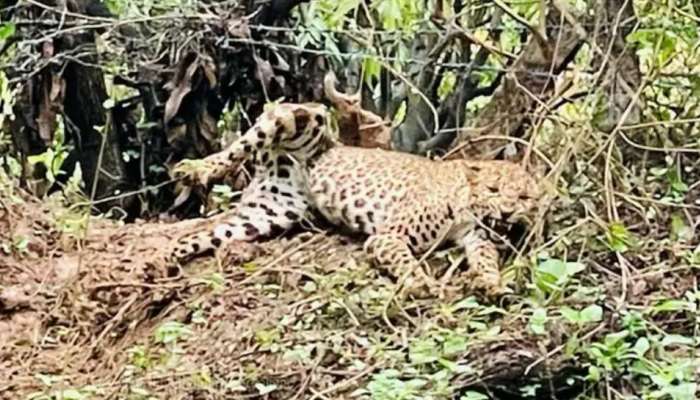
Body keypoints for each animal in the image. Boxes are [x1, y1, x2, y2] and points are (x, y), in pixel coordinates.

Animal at [168, 102, 541, 296]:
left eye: (524, 197)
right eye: (493, 191)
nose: (508, 211)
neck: (465, 206)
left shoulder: (476, 239)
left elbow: (487, 257)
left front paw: (492, 282)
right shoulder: (387, 236)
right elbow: (406, 260)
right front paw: (419, 282)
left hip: (270, 212)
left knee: (197, 236)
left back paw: (165, 262)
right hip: (304, 115)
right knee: (243, 141)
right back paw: (193, 169)